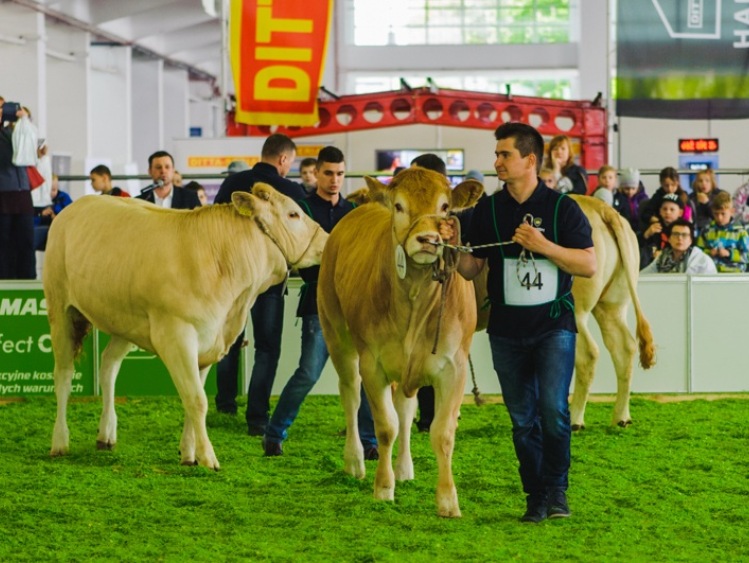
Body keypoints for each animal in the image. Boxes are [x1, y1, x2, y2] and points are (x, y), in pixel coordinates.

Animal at [45, 186, 326, 472]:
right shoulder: (177, 337)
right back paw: (60, 441)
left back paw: (106, 434)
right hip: (60, 308)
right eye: (293, 214)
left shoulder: (208, 341)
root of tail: (79, 204)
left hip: (124, 323)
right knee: (64, 375)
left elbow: (195, 398)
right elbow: (197, 399)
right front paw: (208, 457)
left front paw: (189, 454)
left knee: (108, 366)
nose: (326, 239)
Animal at [316, 169, 480, 520]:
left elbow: (442, 431)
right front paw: (382, 488)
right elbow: (385, 426)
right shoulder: (372, 364)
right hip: (336, 334)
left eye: (445, 207)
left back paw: (405, 468)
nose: (429, 239)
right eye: (399, 206)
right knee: (350, 396)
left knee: (406, 408)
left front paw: (448, 500)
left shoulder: (454, 366)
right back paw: (355, 461)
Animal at [568, 196, 656, 430]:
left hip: (573, 310)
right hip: (612, 304)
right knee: (624, 348)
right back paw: (621, 417)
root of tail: (601, 208)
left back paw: (574, 419)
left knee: (588, 354)